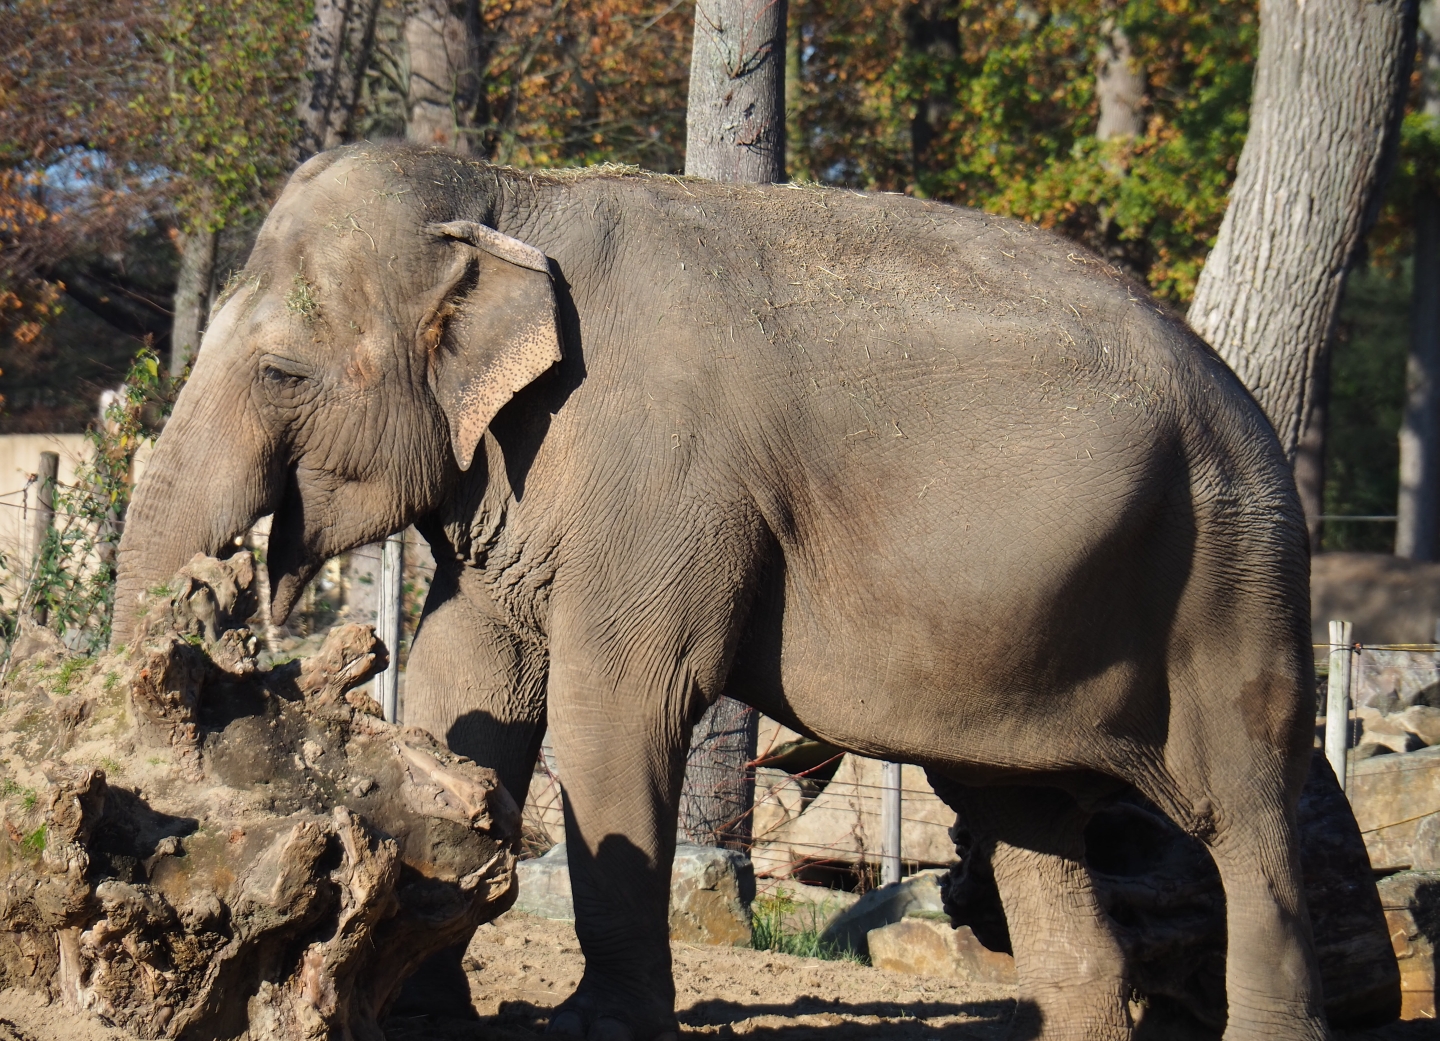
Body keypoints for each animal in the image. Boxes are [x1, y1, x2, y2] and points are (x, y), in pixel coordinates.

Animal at [113, 144, 1327, 1041]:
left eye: (282, 372)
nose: (215, 589)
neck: (513, 190)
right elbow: (472, 680)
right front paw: (419, 1007)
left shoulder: (660, 473)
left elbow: (619, 704)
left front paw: (590, 1028)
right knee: (1023, 816)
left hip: (1231, 573)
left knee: (1244, 813)